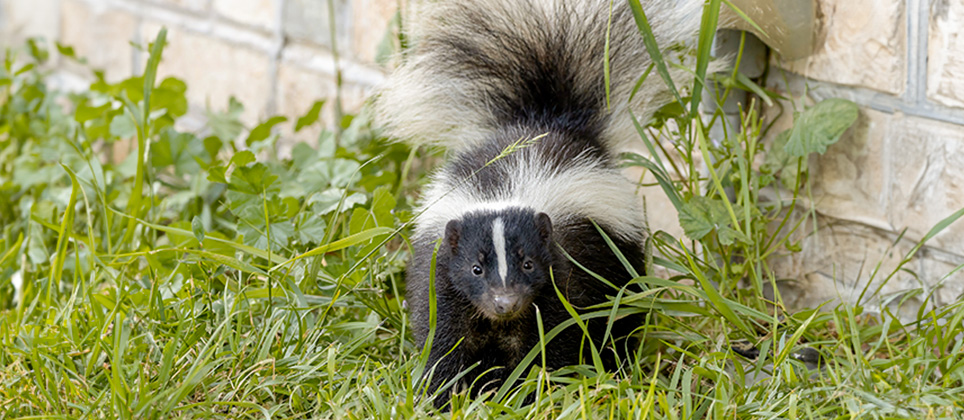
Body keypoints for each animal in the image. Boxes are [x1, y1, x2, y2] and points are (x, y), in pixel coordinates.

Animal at [374, 0, 700, 406]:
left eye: (528, 263)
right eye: (476, 269)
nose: (505, 302)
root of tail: (549, 121)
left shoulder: (560, 277)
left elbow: (551, 339)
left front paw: (533, 393)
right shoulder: (442, 278)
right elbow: (446, 340)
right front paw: (443, 396)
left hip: (619, 256)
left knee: (623, 311)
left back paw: (618, 361)